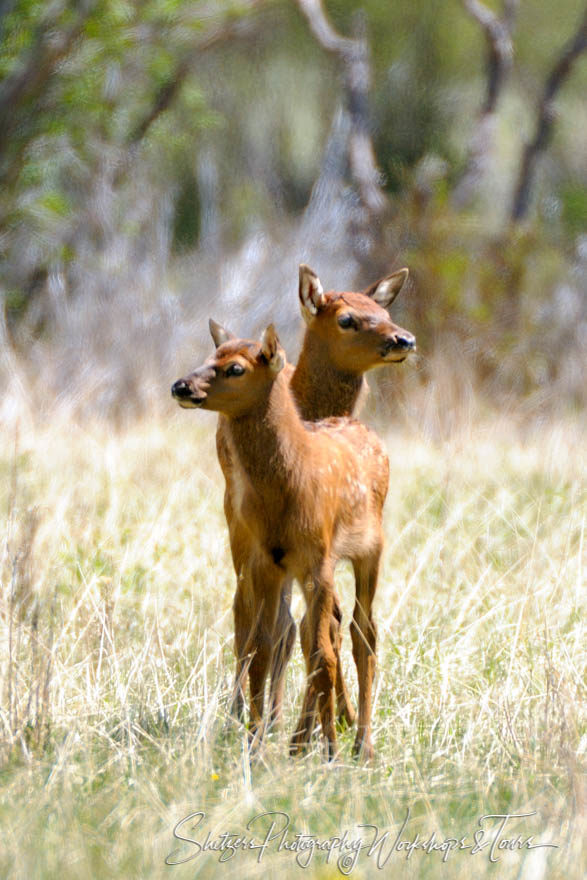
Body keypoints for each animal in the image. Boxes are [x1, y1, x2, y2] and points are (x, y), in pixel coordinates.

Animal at [172, 326, 392, 760]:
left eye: (235, 368)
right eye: (211, 355)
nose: (181, 386)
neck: (289, 487)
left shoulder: (318, 559)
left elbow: (323, 654)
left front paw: (331, 751)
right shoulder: (267, 562)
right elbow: (263, 647)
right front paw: (255, 744)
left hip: (369, 551)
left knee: (364, 634)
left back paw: (362, 744)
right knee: (315, 631)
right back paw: (305, 739)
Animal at [211, 266, 414, 728]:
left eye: (383, 311)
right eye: (346, 319)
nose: (404, 340)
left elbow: (322, 626)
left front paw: (341, 714)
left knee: (288, 625)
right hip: (236, 522)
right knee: (246, 614)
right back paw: (243, 711)